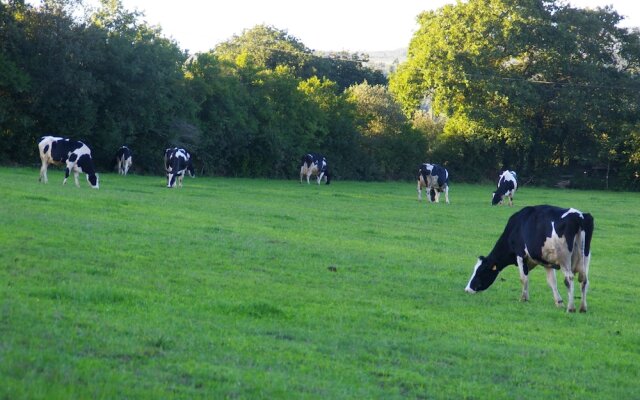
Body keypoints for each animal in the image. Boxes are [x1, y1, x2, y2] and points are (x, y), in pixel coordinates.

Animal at [464, 206, 596, 312]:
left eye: (480, 271)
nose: (467, 289)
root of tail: (579, 216)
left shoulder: (520, 255)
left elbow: (523, 278)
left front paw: (523, 299)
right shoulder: (546, 263)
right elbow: (552, 282)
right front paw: (559, 303)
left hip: (564, 258)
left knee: (569, 279)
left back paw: (571, 308)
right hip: (586, 256)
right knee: (584, 280)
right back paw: (583, 308)